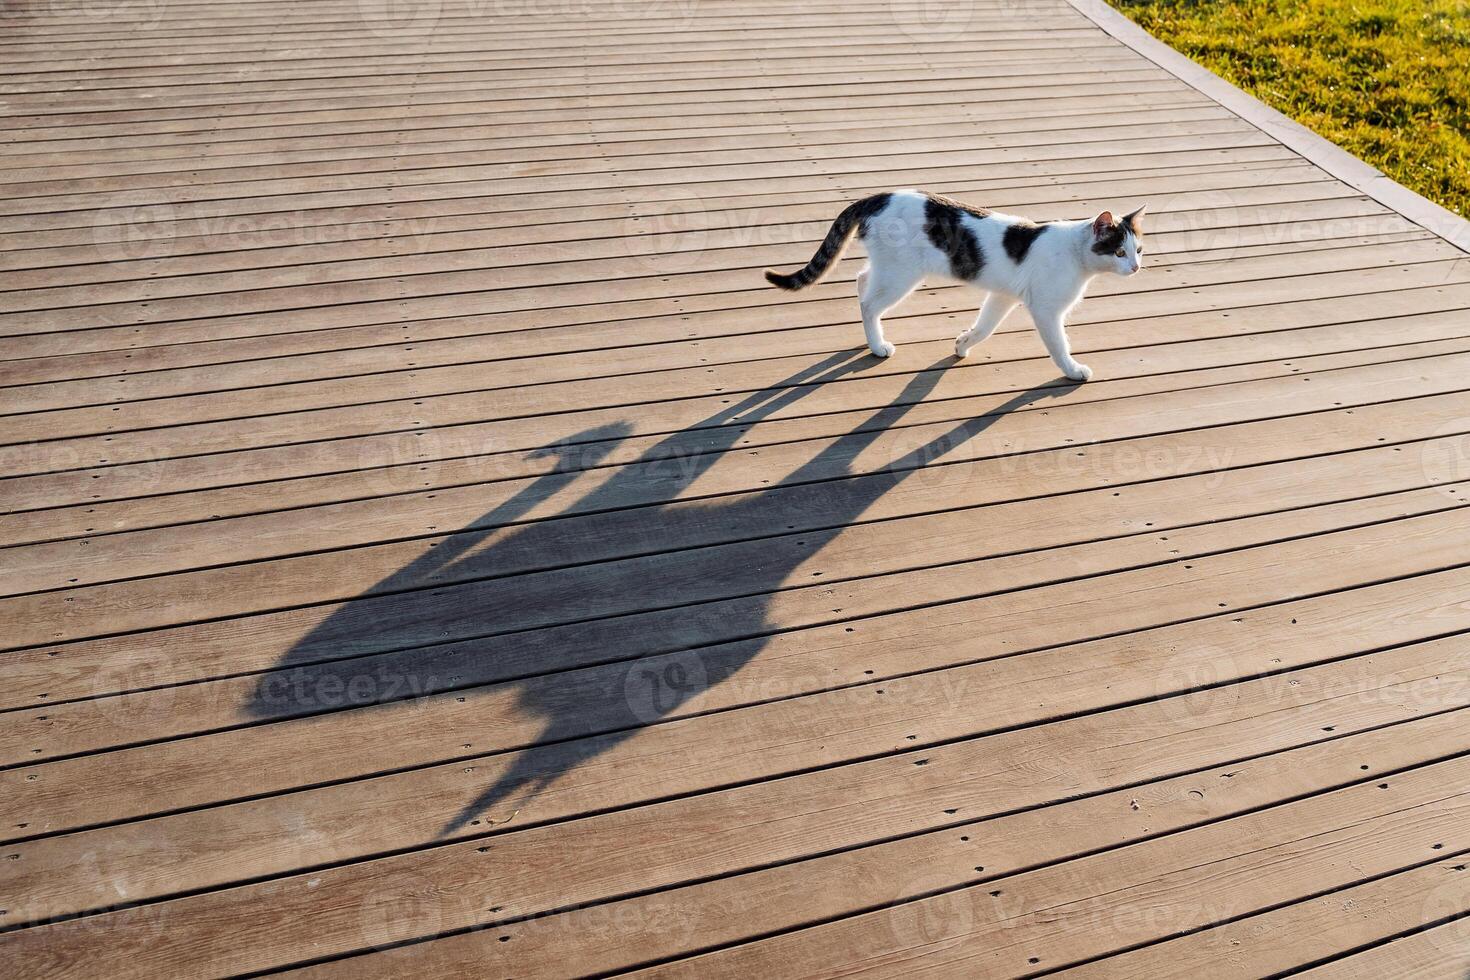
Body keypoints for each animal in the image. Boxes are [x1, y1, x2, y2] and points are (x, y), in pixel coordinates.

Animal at [764, 189, 1140, 382]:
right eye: (1119, 252)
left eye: (1138, 249)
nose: (1136, 267)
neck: (1076, 253)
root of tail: (879, 196)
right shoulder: (1046, 310)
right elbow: (1060, 346)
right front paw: (1074, 370)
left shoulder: (1002, 296)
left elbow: (984, 327)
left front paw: (962, 344)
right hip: (901, 274)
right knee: (870, 303)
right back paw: (877, 345)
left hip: (889, 268)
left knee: (862, 282)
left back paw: (871, 337)